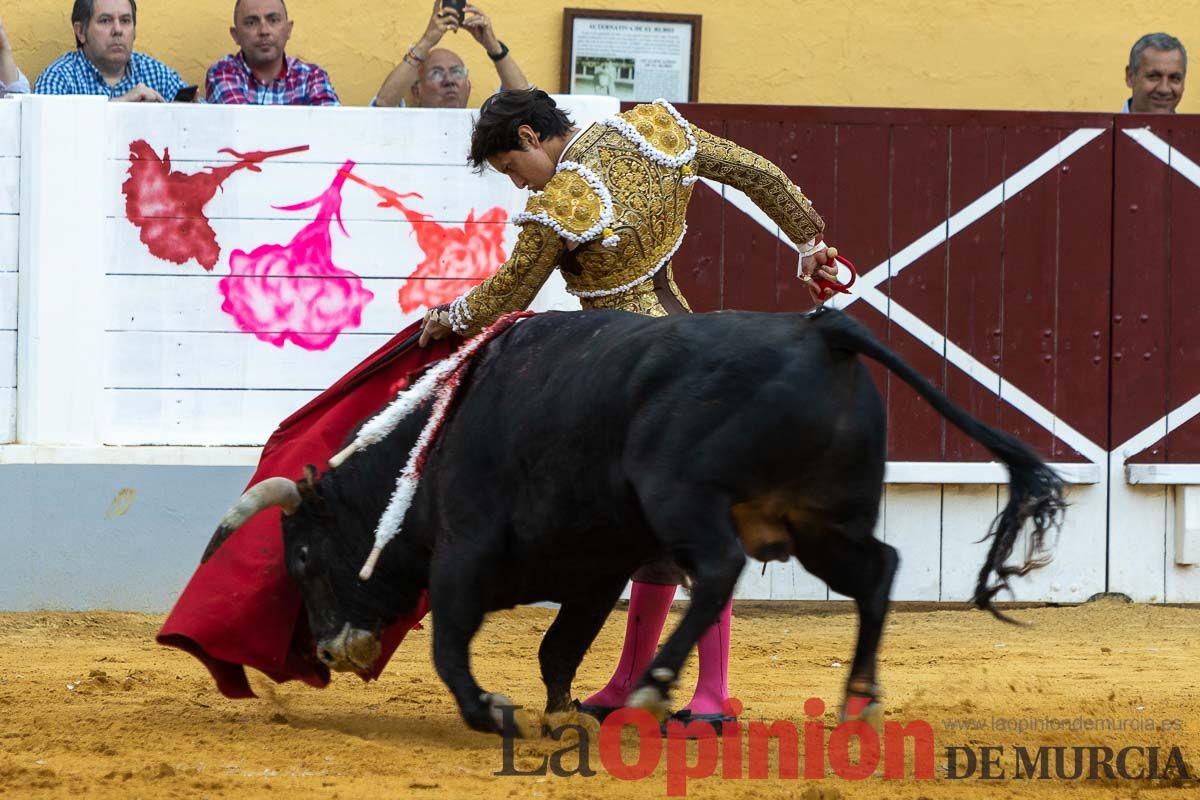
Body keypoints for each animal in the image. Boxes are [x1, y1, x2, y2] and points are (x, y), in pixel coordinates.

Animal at [201, 309, 1065, 734]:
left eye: (303, 559)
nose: (326, 650)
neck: (429, 445)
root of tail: (822, 328)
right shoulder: (597, 566)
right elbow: (559, 648)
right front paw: (562, 713)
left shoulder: (465, 555)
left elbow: (452, 648)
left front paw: (494, 713)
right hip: (821, 522)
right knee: (876, 571)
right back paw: (857, 698)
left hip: (688, 497)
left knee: (718, 571)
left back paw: (657, 688)